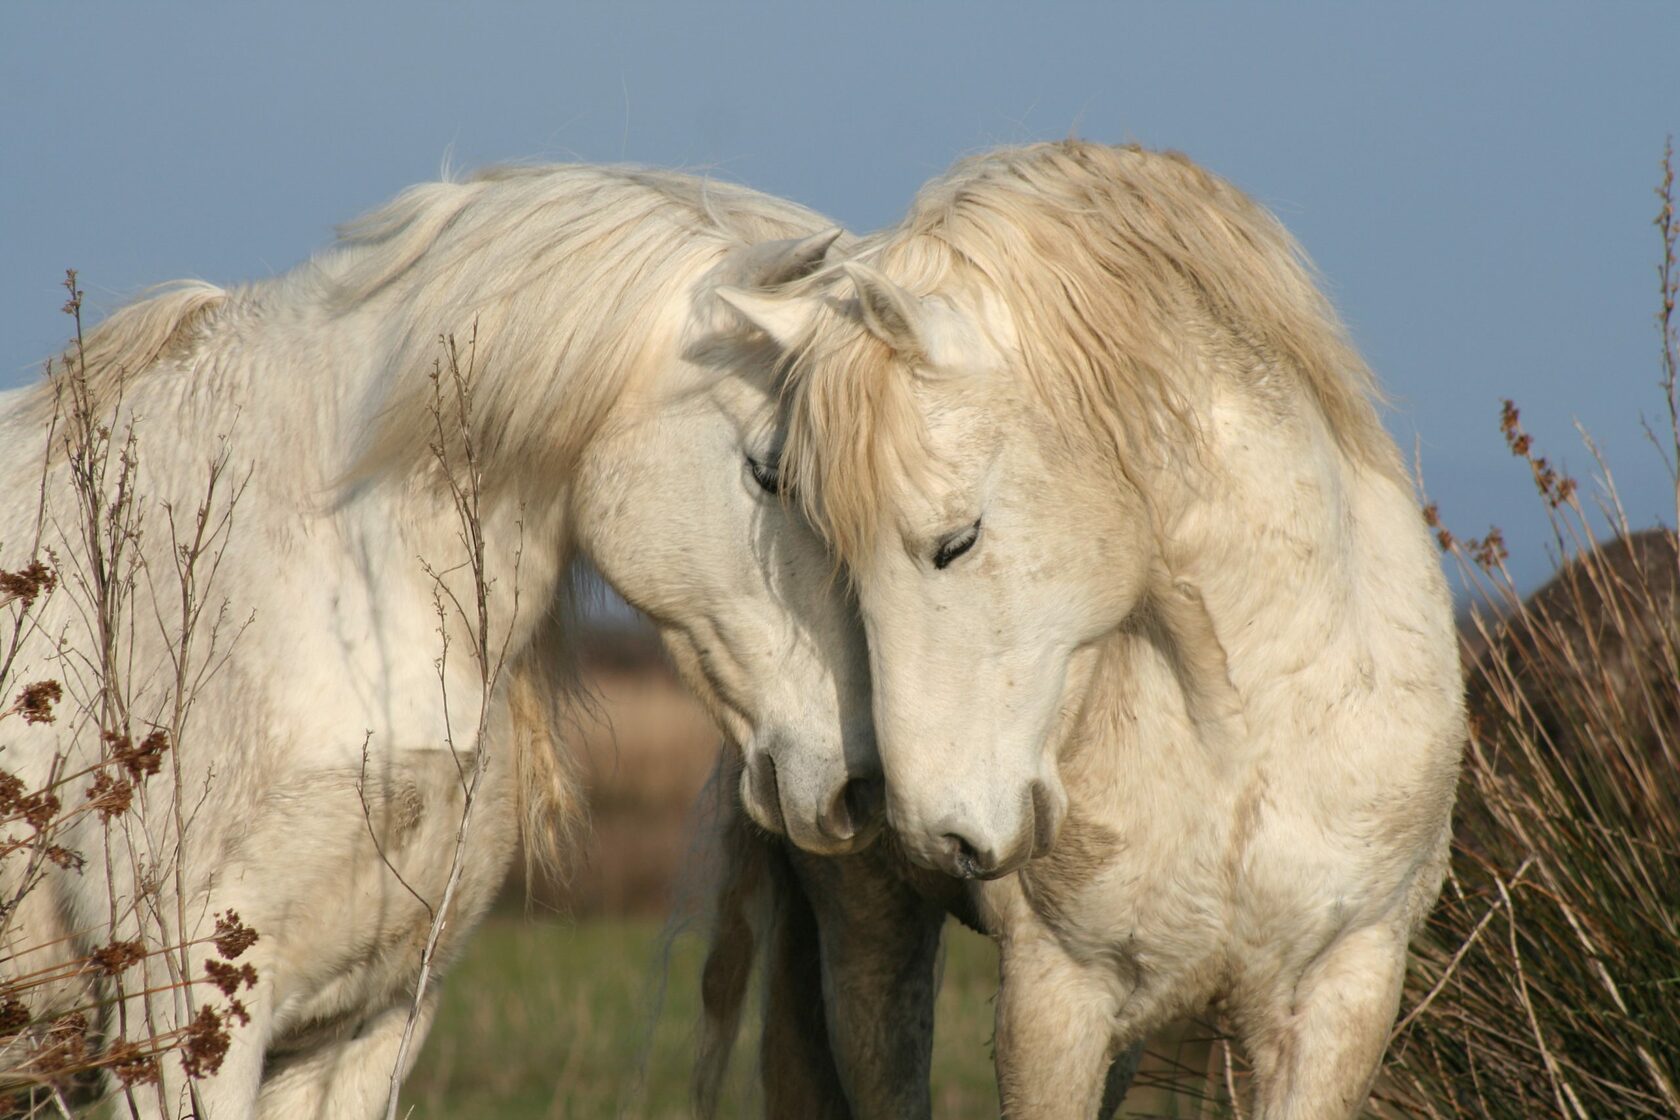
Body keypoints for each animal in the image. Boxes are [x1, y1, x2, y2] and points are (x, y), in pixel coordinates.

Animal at [729, 142, 1464, 1120]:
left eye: (956, 541)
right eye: (822, 543)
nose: (940, 832)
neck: (1245, 733)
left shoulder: (1344, 989)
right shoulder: (1054, 1001)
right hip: (868, 934)